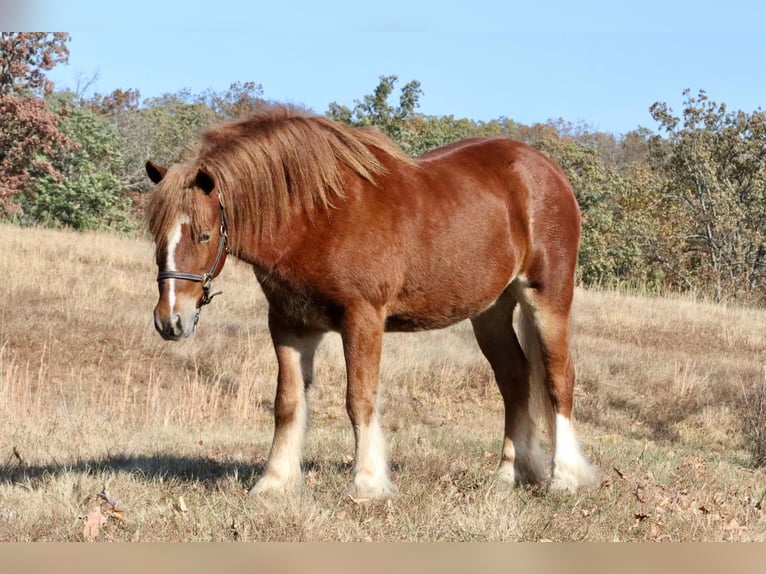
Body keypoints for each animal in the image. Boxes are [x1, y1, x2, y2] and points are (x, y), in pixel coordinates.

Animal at [146, 104, 600, 500]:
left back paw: (565, 477)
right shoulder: (290, 324)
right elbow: (287, 404)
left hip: (547, 298)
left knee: (559, 378)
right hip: (490, 312)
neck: (317, 215)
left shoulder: (362, 317)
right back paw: (508, 474)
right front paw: (274, 483)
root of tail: (548, 172)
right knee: (515, 379)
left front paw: (366, 483)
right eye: (157, 235)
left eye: (204, 235)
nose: (171, 321)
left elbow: (359, 399)